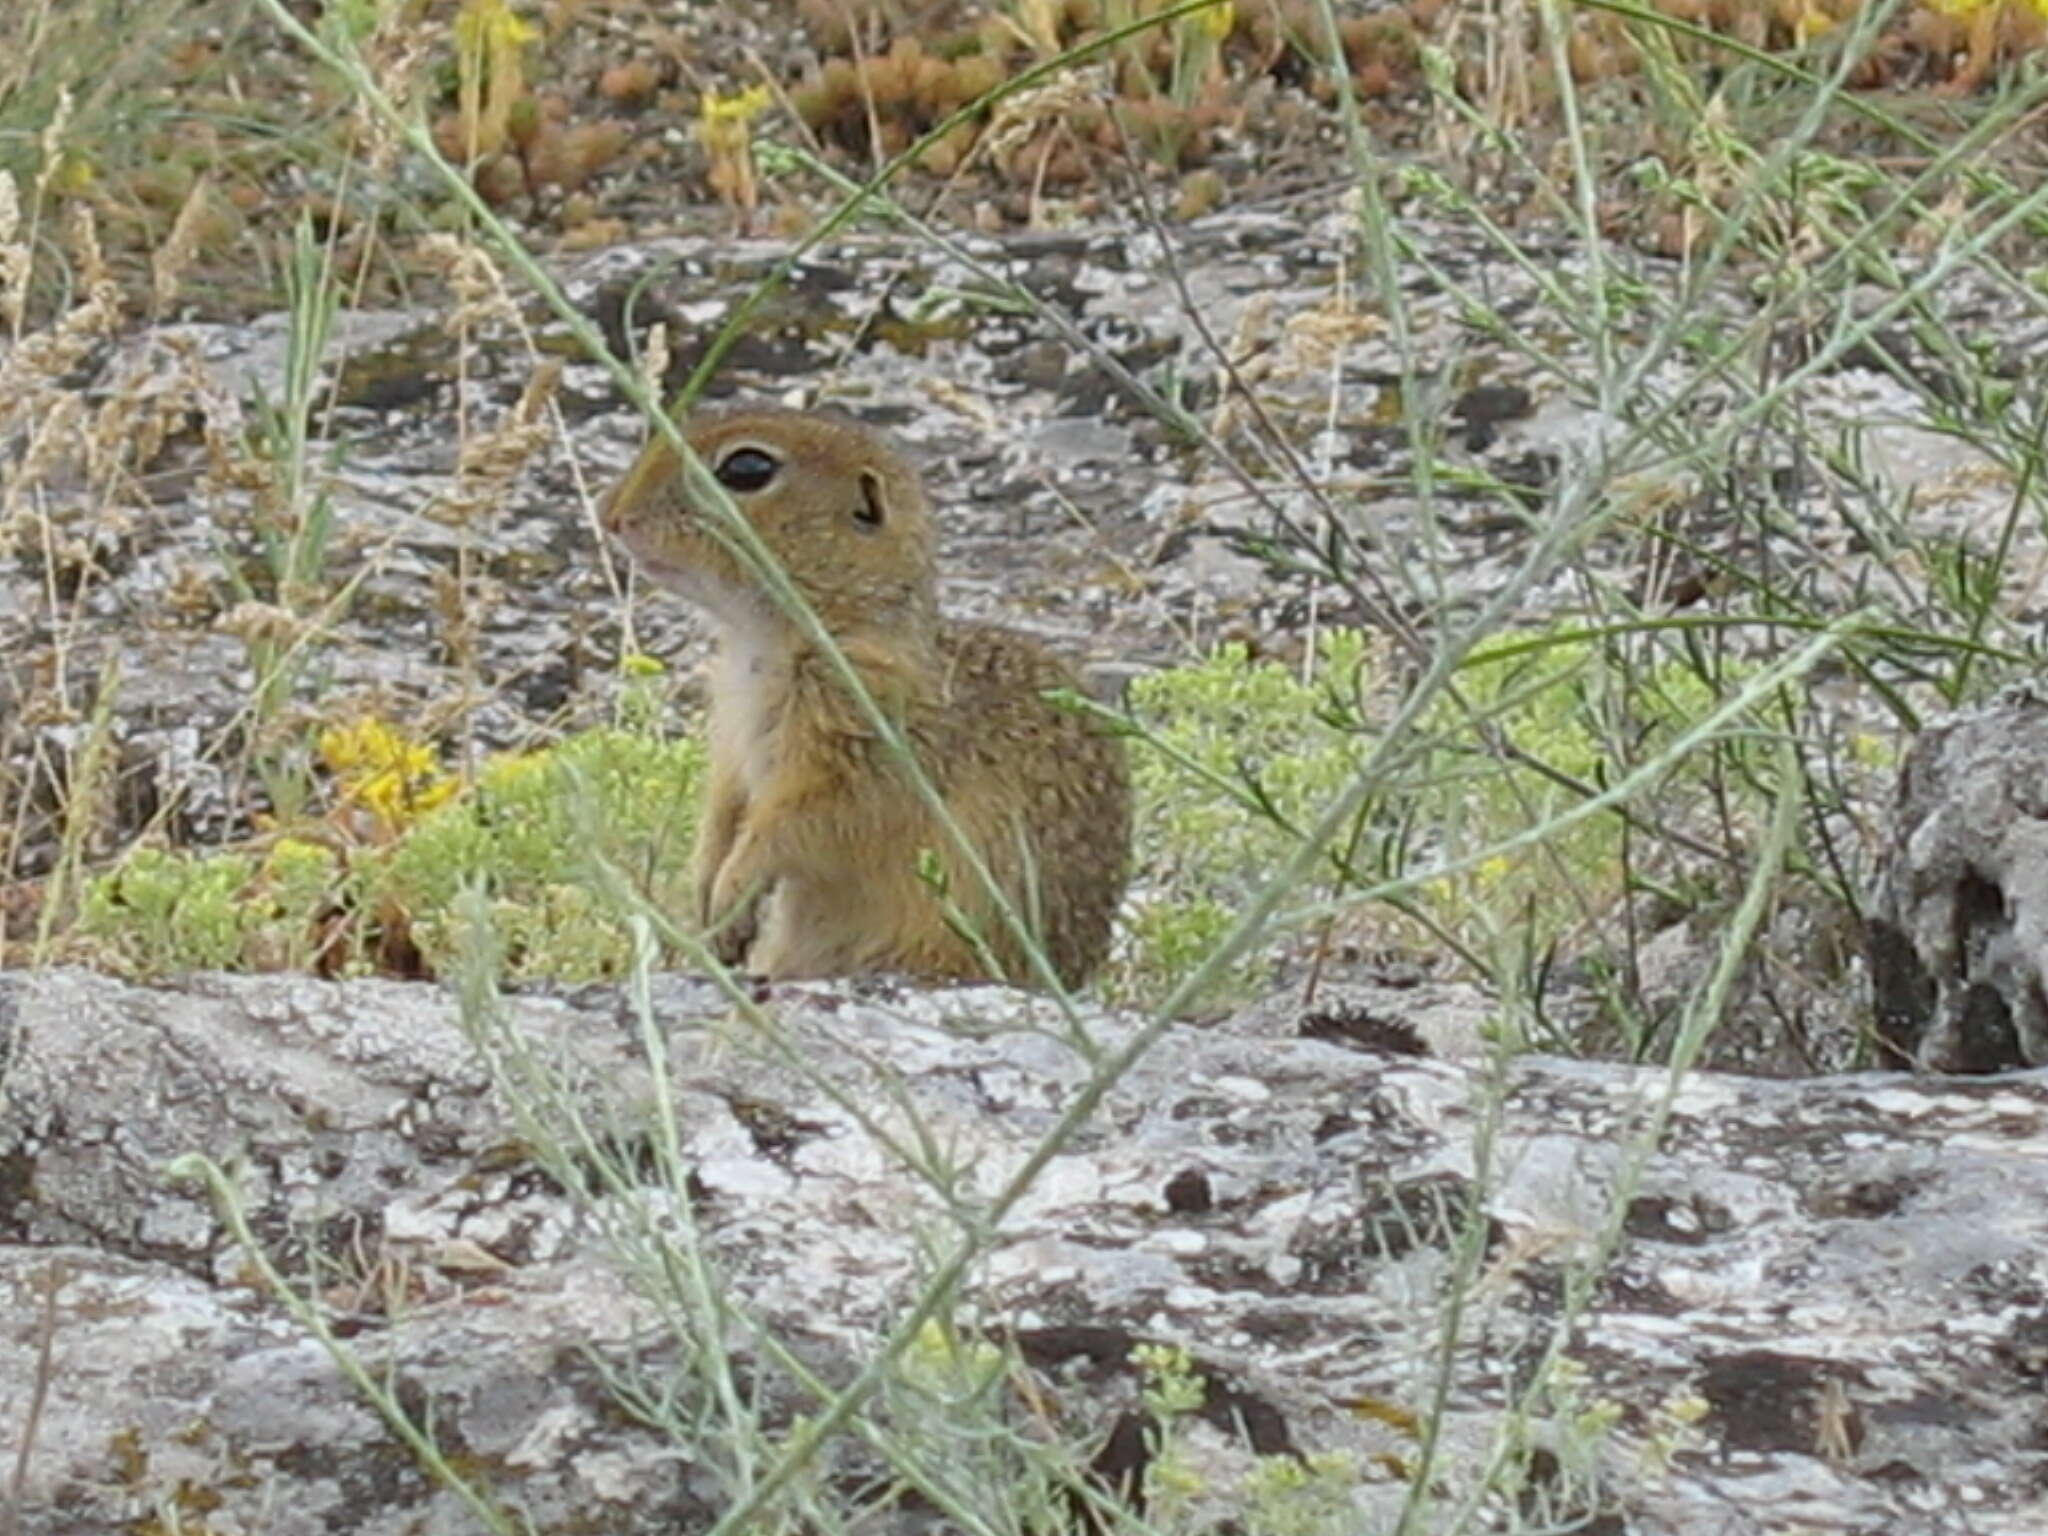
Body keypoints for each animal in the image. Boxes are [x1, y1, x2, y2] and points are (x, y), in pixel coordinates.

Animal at [593, 403, 1138, 991]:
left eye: (747, 469)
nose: (611, 514)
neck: (774, 638)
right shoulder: (734, 746)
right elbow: (722, 813)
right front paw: (705, 898)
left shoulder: (855, 756)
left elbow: (792, 829)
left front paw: (732, 896)